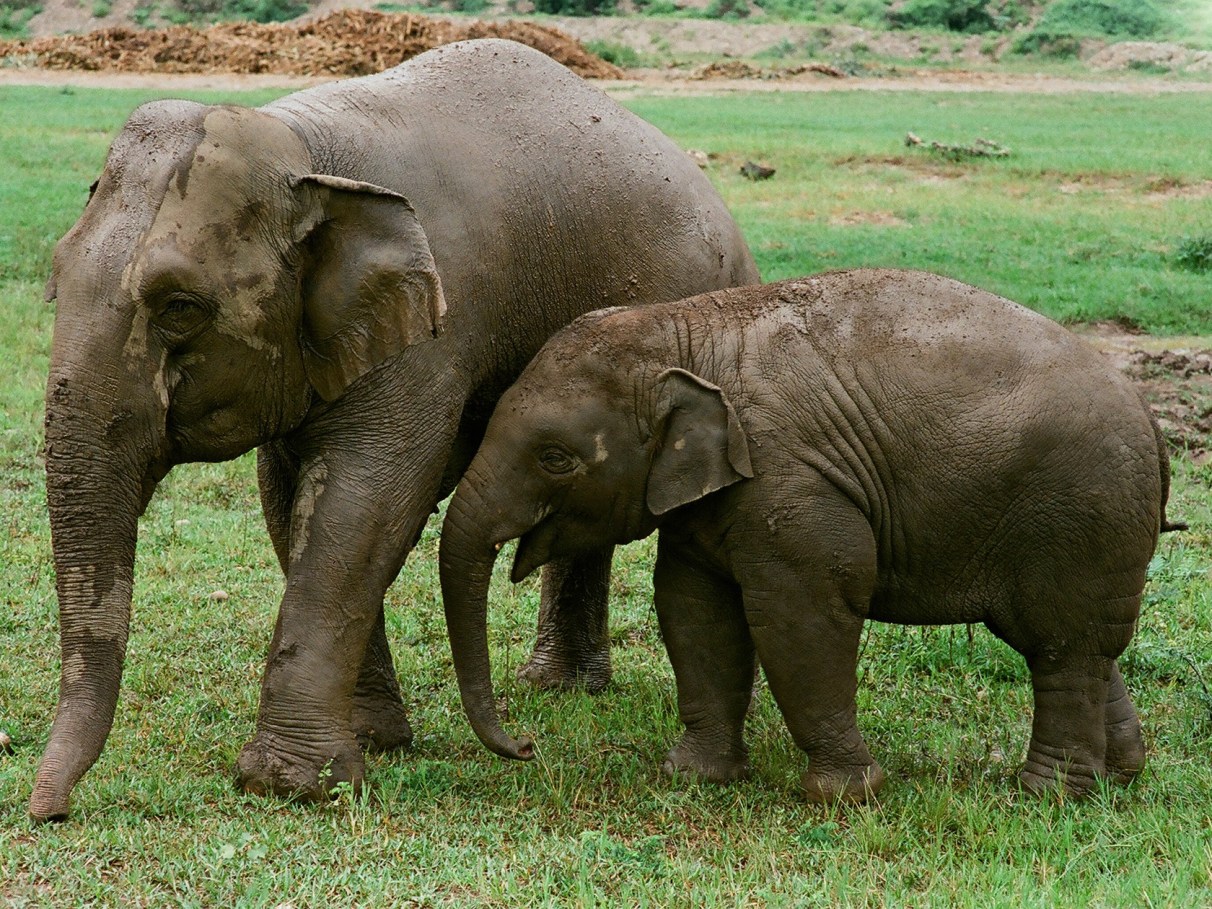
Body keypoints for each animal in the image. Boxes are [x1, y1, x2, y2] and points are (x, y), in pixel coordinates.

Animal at [35, 37, 756, 824]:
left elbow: (365, 498)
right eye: (55, 278)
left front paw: (293, 783)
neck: (309, 150)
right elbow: (291, 500)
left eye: (179, 308)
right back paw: (556, 688)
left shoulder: (437, 324)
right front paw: (373, 743)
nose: (49, 811)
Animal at [441, 270, 1178, 804]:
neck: (684, 330)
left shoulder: (789, 481)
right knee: (1084, 643)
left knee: (1061, 647)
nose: (526, 746)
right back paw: (1121, 774)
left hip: (1077, 510)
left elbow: (802, 613)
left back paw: (1047, 796)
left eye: (554, 457)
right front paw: (695, 777)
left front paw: (845, 796)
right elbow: (692, 608)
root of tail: (1148, 411)